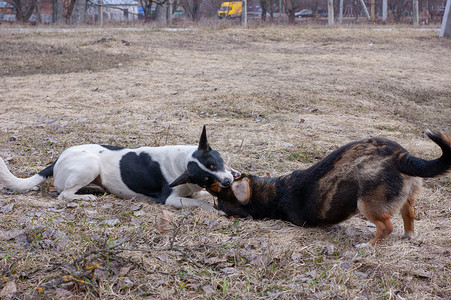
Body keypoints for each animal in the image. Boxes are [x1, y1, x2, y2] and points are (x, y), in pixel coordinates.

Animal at [0, 125, 240, 209]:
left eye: (215, 163)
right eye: (205, 177)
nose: (228, 181)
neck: (183, 161)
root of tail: (58, 159)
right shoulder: (169, 199)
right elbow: (199, 203)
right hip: (90, 164)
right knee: (63, 195)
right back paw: (87, 197)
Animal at [209, 130, 451, 245]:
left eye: (221, 197)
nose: (214, 204)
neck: (273, 191)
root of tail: (402, 155)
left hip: (365, 203)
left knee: (386, 227)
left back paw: (368, 246)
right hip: (406, 197)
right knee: (409, 214)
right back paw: (408, 236)